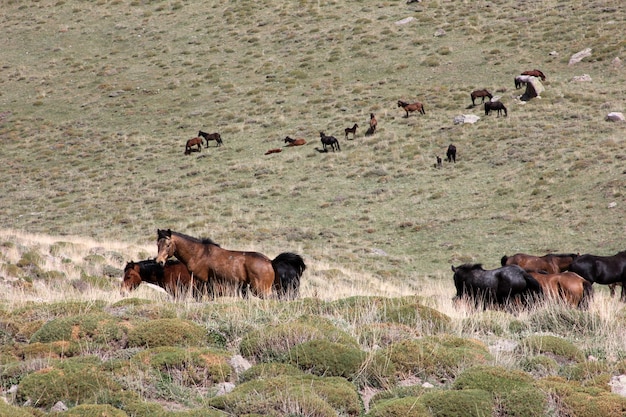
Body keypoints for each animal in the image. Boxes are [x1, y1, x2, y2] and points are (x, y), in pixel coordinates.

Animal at [154, 228, 304, 300]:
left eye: (168, 245)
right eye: (157, 244)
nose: (159, 262)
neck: (199, 254)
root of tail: (271, 262)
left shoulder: (202, 282)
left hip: (260, 289)